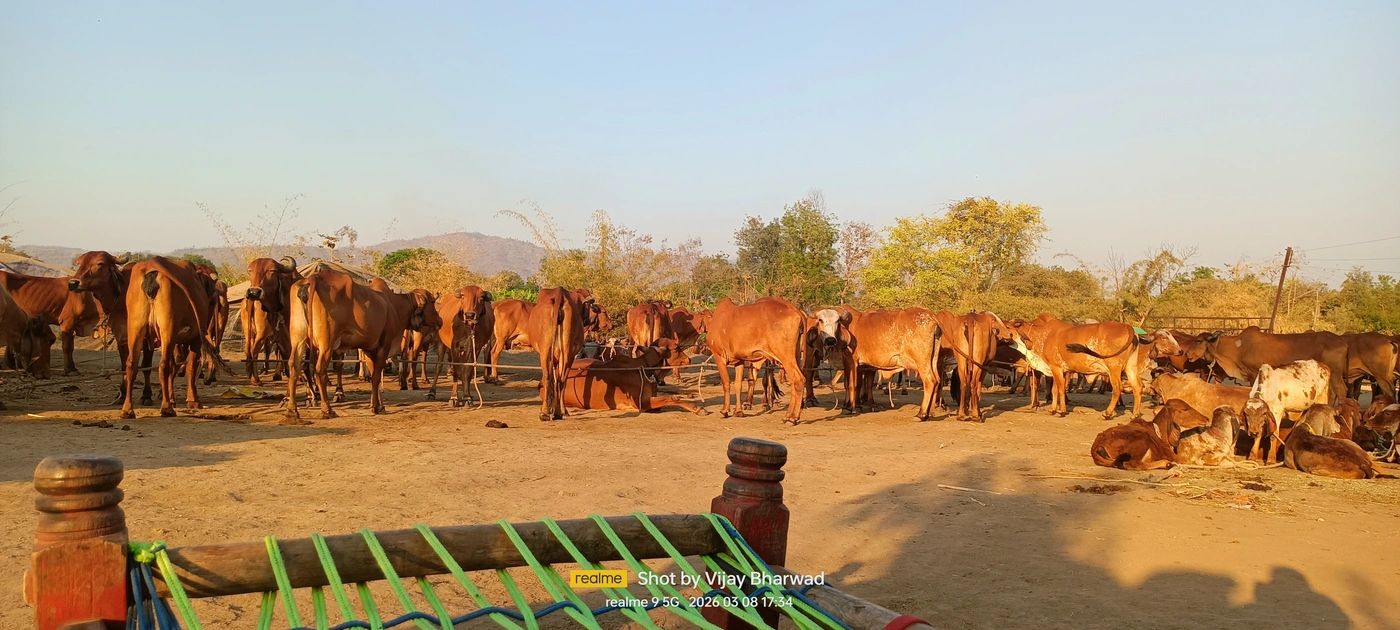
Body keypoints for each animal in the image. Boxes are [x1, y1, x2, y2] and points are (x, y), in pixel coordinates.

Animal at [117, 257, 226, 419]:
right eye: (212, 299)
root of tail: (152, 266)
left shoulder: (175, 341)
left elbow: (176, 365)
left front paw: (171, 396)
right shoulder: (195, 339)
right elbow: (190, 366)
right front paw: (192, 400)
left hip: (136, 329)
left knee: (131, 364)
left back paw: (127, 409)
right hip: (166, 329)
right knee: (164, 365)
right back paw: (166, 408)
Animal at [285, 270, 440, 421]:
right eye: (432, 302)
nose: (440, 320)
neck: (394, 306)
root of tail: (313, 277)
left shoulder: (369, 349)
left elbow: (372, 376)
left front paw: (377, 404)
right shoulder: (384, 346)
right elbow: (376, 377)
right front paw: (376, 407)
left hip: (298, 339)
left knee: (294, 365)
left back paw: (292, 410)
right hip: (327, 344)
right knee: (320, 370)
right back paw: (327, 410)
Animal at [524, 288, 590, 421]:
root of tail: (560, 294)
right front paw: (559, 410)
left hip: (545, 349)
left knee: (548, 377)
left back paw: (545, 413)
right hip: (566, 353)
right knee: (561, 379)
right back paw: (559, 412)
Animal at [560, 343, 706, 414]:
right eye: (676, 348)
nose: (689, 359)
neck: (645, 368)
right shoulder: (642, 403)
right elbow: (672, 398)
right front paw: (697, 408)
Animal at [1197, 327, 1349, 401]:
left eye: (1199, 341)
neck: (1239, 347)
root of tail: (1342, 341)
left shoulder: (1254, 373)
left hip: (1335, 373)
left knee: (1341, 390)